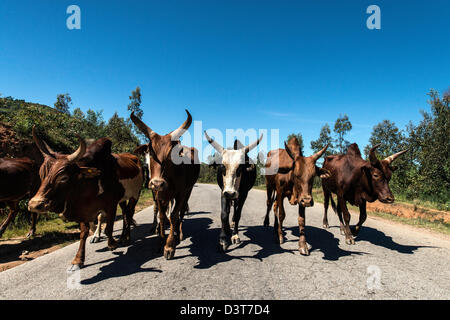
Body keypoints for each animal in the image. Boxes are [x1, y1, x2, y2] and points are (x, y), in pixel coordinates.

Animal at [130, 110, 200, 260]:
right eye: (150, 152)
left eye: (170, 154)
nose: (157, 183)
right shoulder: (158, 194)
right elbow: (161, 216)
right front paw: (160, 241)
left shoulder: (180, 193)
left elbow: (173, 215)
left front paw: (169, 246)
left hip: (189, 190)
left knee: (181, 211)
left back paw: (179, 233)